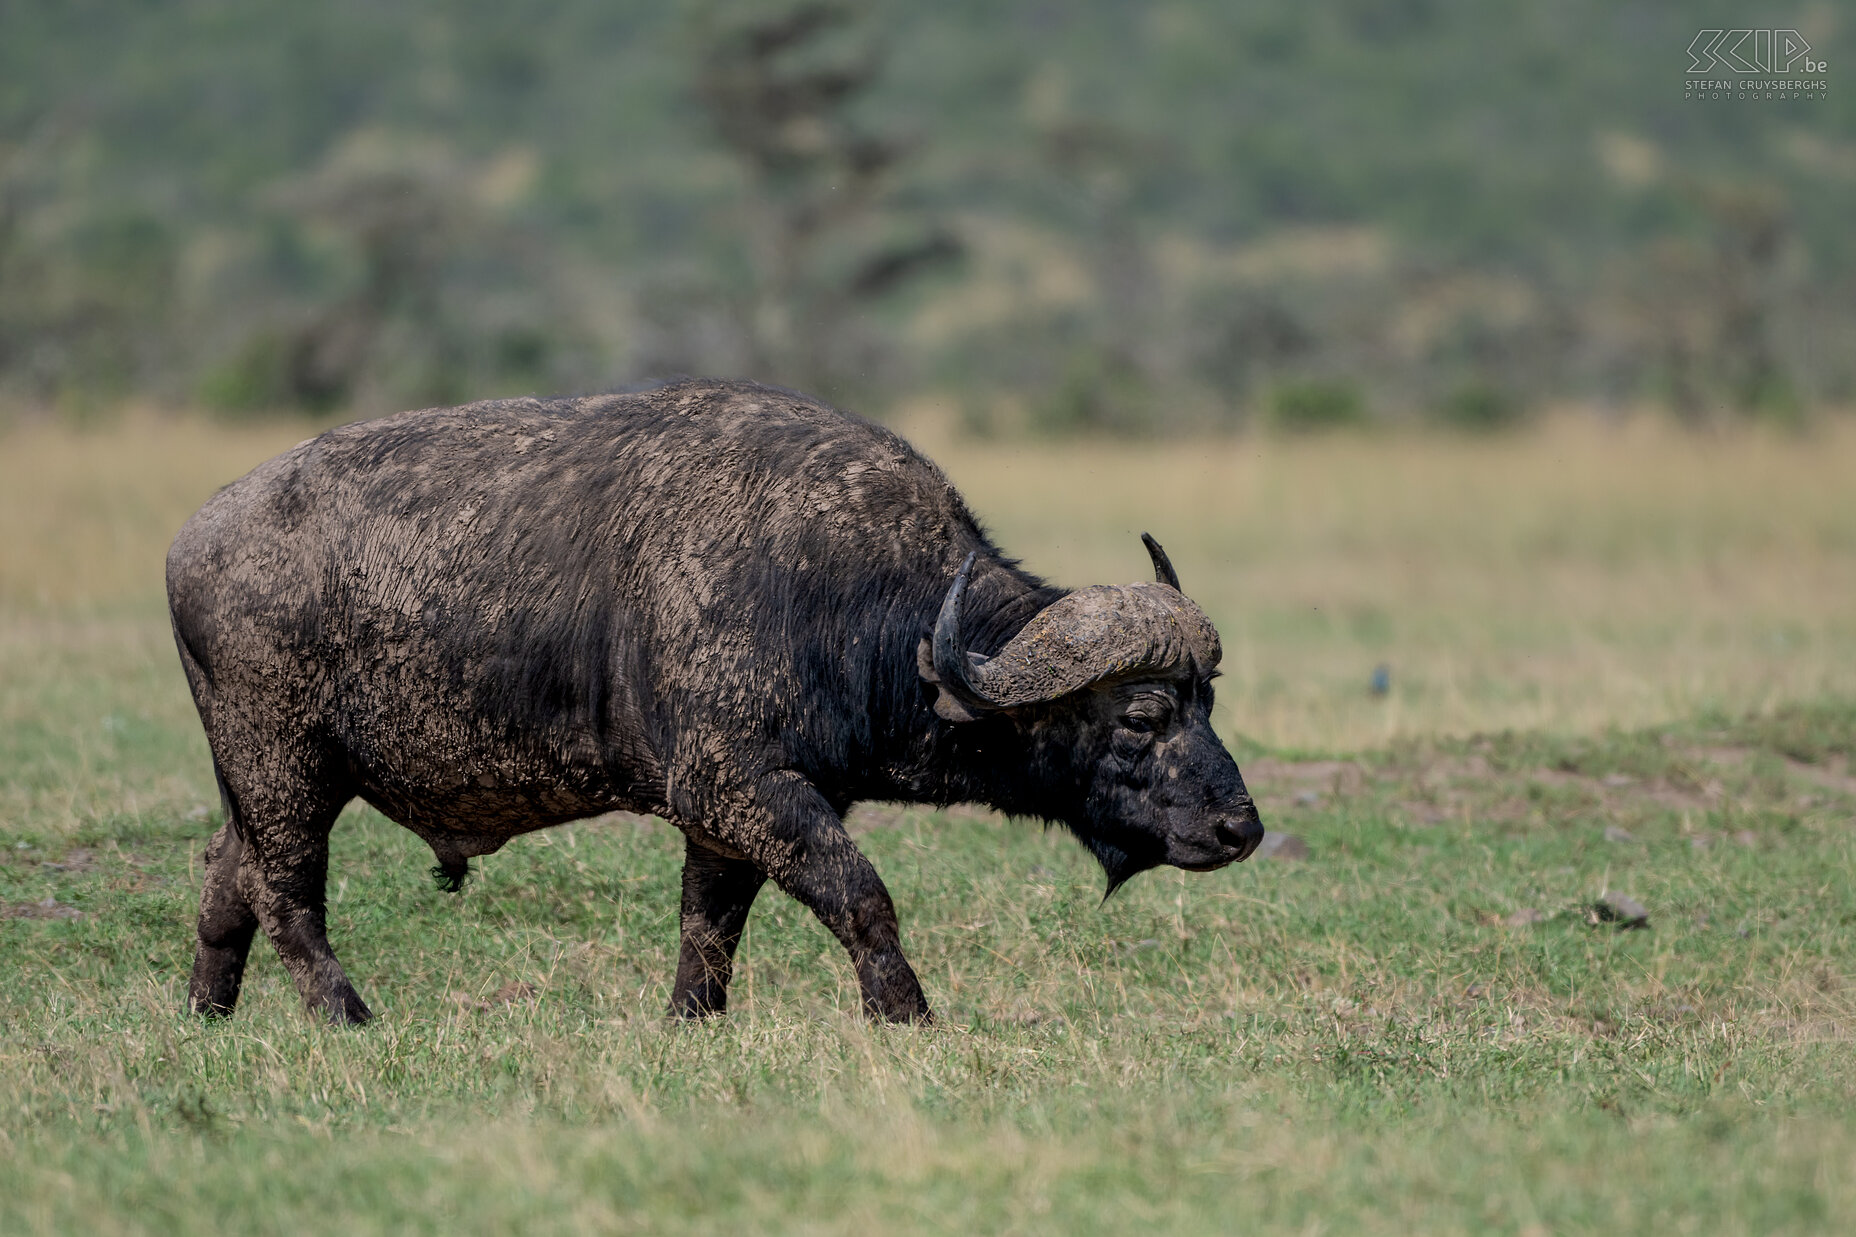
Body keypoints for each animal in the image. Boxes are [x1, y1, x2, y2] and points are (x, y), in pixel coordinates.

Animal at [170, 375, 1262, 1017]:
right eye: (1142, 715)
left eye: (1208, 699)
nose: (1239, 828)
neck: (855, 602)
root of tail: (194, 538)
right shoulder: (739, 784)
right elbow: (862, 895)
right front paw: (906, 1014)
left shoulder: (730, 813)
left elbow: (711, 925)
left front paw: (691, 1020)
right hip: (284, 770)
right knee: (287, 896)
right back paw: (346, 1015)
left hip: (258, 785)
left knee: (228, 879)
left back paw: (207, 1011)